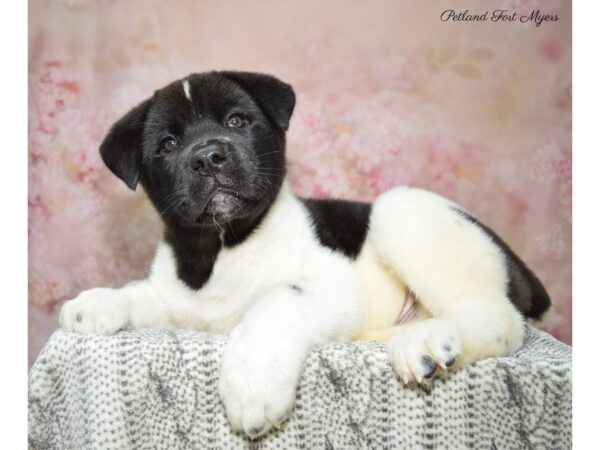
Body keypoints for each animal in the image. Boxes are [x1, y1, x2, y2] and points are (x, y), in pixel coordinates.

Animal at [58, 71, 552, 440]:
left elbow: (276, 300)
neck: (220, 248)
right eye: (168, 145)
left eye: (236, 121)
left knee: (500, 319)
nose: (208, 157)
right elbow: (142, 292)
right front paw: (97, 302)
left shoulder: (331, 282)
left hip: (403, 210)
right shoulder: (180, 300)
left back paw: (428, 340)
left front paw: (253, 384)